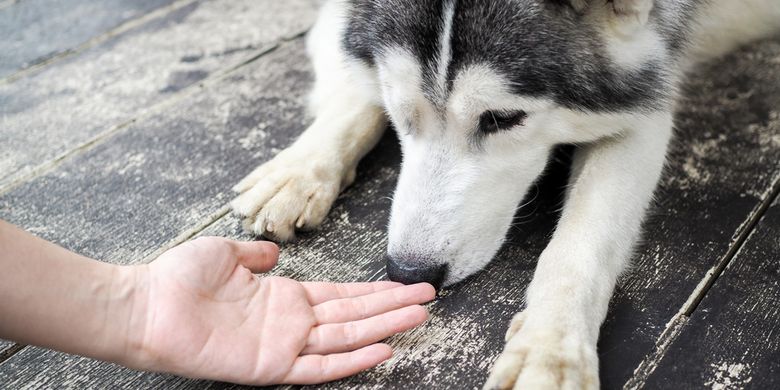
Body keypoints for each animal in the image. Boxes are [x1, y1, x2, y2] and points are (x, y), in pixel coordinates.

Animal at [232, 1, 780, 388]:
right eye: (399, 107)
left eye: (502, 118)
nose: (409, 272)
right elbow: (354, 93)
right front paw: (298, 169)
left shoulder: (641, 100)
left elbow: (580, 245)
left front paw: (549, 348)